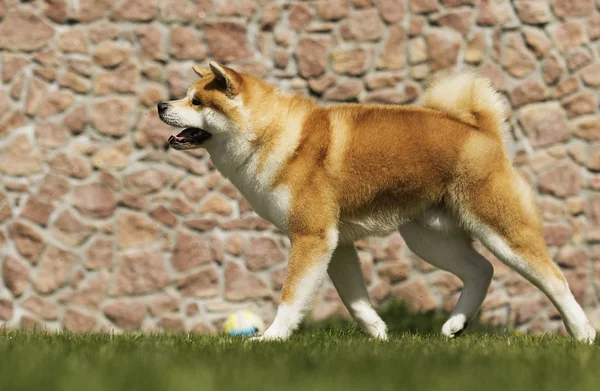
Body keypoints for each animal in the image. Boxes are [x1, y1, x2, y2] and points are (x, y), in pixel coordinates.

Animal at [157, 61, 596, 344]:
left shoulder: (312, 237)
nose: (161, 105)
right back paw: (455, 325)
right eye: (185, 96)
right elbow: (356, 301)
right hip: (426, 238)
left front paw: (270, 337)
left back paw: (583, 334)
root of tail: (480, 129)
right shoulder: (336, 244)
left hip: (500, 229)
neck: (272, 135)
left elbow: (291, 297)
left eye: (196, 102)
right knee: (481, 271)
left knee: (555, 279)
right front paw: (380, 335)